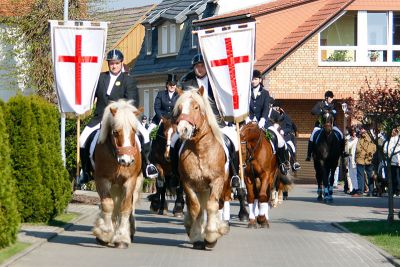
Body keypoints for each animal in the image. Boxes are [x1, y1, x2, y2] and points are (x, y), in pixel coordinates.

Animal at [92, 100, 144, 249]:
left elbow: (125, 207)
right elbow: (107, 204)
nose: (126, 161)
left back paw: (130, 230)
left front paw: (121, 238)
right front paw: (104, 233)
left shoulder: (130, 181)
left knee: (130, 206)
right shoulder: (102, 179)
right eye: (115, 132)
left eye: (134, 131)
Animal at [173, 88, 230, 251]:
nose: (183, 129)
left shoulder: (217, 181)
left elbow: (212, 206)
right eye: (179, 108)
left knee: (218, 205)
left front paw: (211, 237)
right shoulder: (188, 183)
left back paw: (219, 228)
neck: (200, 150)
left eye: (196, 107)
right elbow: (196, 208)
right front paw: (197, 237)